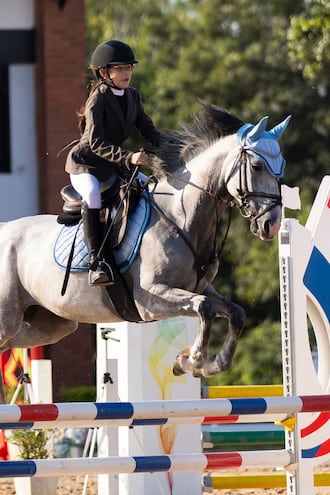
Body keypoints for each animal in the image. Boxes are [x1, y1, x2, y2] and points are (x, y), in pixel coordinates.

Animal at [0, 105, 288, 404]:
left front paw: (208, 364)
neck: (182, 215)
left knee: (15, 341)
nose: (272, 225)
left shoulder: (198, 288)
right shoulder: (150, 298)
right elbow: (204, 309)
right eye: (256, 166)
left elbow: (235, 313)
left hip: (51, 323)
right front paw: (191, 361)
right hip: (9, 317)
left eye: (281, 168)